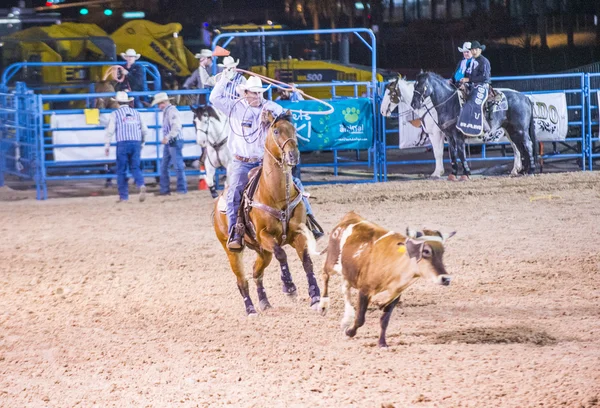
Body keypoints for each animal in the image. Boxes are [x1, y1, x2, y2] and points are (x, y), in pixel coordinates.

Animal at [212, 110, 322, 314]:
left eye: (294, 129)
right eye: (276, 131)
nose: (293, 155)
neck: (276, 194)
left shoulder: (298, 233)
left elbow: (306, 261)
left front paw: (315, 296)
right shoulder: (265, 235)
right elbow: (281, 253)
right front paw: (289, 287)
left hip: (262, 252)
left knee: (256, 272)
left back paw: (264, 302)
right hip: (232, 251)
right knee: (242, 280)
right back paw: (250, 309)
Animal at [318, 210, 454, 348]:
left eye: (442, 251)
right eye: (426, 251)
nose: (446, 278)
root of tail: (351, 216)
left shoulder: (395, 296)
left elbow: (384, 320)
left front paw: (382, 342)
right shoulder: (365, 290)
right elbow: (360, 318)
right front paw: (349, 332)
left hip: (347, 272)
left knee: (345, 289)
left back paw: (346, 318)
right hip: (332, 262)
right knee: (325, 275)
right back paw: (323, 305)